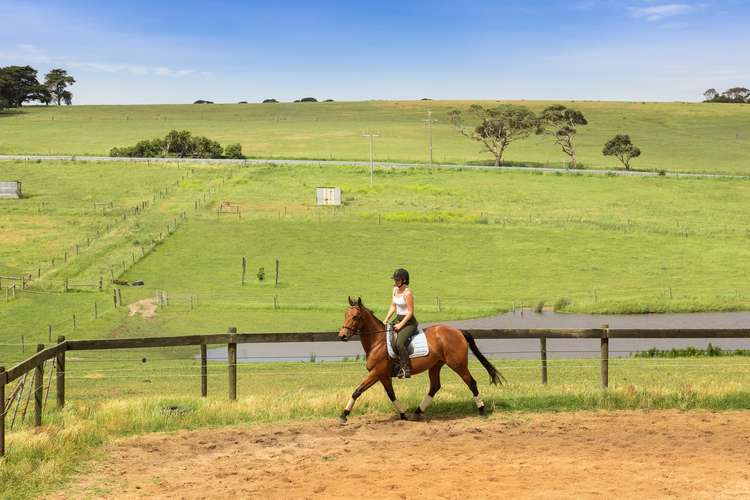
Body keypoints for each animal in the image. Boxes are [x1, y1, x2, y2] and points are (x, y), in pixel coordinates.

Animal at [340, 294, 506, 424]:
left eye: (355, 317)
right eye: (345, 315)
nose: (342, 336)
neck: (378, 341)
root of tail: (458, 331)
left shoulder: (376, 372)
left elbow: (357, 391)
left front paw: (343, 415)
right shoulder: (383, 375)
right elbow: (391, 395)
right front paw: (403, 414)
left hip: (458, 364)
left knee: (471, 382)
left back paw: (482, 411)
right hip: (435, 365)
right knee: (435, 386)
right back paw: (417, 412)